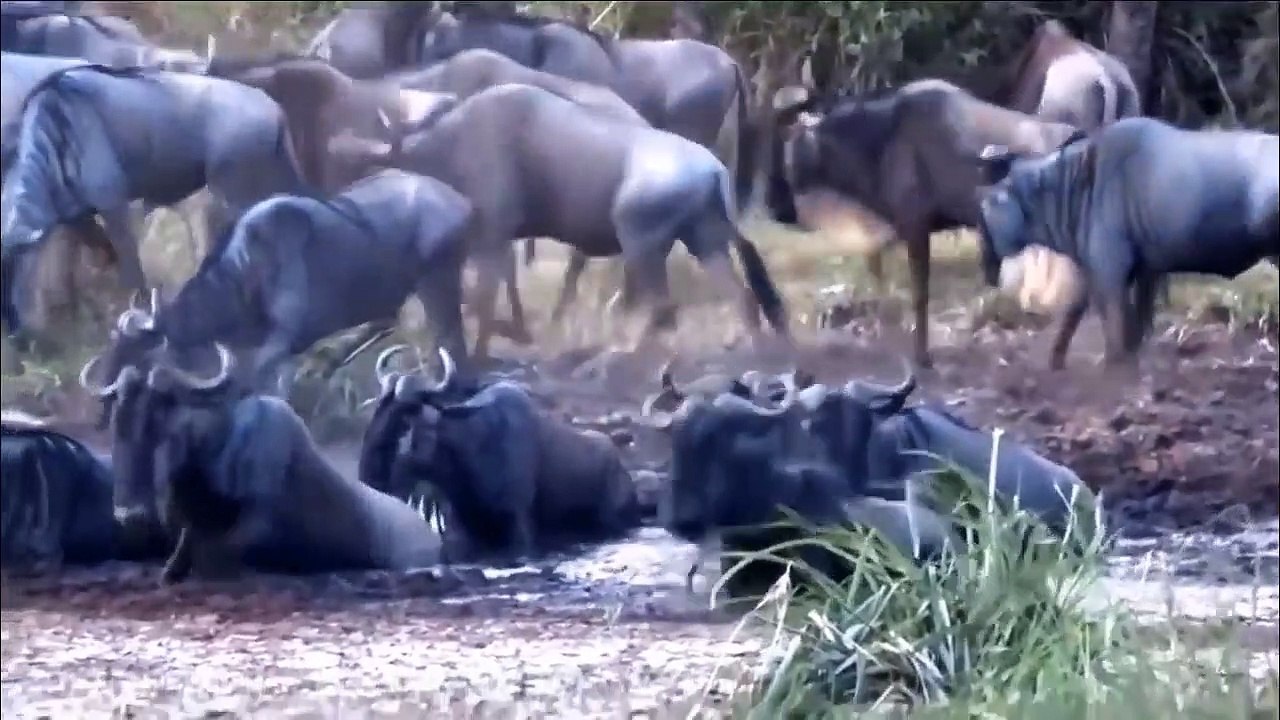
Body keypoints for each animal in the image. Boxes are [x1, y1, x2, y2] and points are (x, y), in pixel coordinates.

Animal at [0, 63, 308, 336]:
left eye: (14, 270)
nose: (14, 334)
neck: (56, 130)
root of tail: (272, 107)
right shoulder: (80, 217)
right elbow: (103, 250)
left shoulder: (115, 204)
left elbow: (131, 264)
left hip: (237, 191)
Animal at [75, 168, 473, 399]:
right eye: (114, 344)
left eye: (139, 355)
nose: (103, 395)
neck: (248, 268)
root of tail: (459, 202)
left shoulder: (279, 341)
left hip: (438, 287)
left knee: (449, 347)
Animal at [329, 83, 790, 361]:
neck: (449, 148)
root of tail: (715, 171)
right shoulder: (493, 242)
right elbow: (490, 297)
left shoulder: (492, 234)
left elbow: (481, 301)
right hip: (704, 240)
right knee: (745, 298)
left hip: (641, 239)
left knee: (663, 307)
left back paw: (618, 354)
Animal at [767, 79, 1082, 367]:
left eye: (788, 150)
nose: (777, 208)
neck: (881, 140)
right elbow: (879, 277)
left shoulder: (916, 227)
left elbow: (919, 294)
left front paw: (922, 356)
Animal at [977, 117, 1280, 369]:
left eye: (988, 207)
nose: (986, 261)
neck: (1075, 182)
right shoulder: (1133, 271)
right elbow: (1092, 317)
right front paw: (1057, 362)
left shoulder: (1110, 273)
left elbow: (1115, 325)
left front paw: (1114, 368)